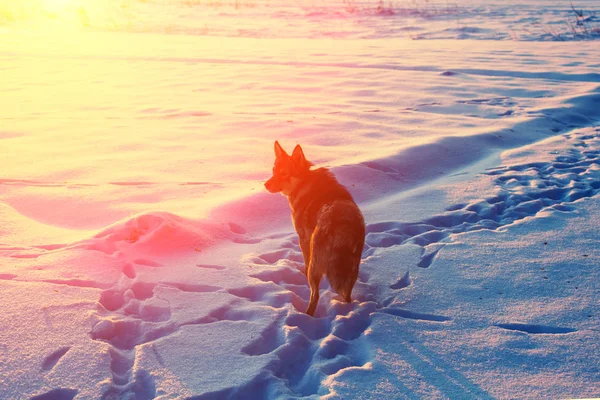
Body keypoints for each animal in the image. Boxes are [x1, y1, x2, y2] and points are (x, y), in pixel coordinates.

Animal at [266, 141, 366, 316]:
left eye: (284, 173)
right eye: (274, 171)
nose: (265, 184)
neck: (303, 183)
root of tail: (344, 227)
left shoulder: (303, 239)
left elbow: (305, 263)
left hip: (316, 266)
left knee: (315, 295)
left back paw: (306, 316)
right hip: (352, 269)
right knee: (347, 294)